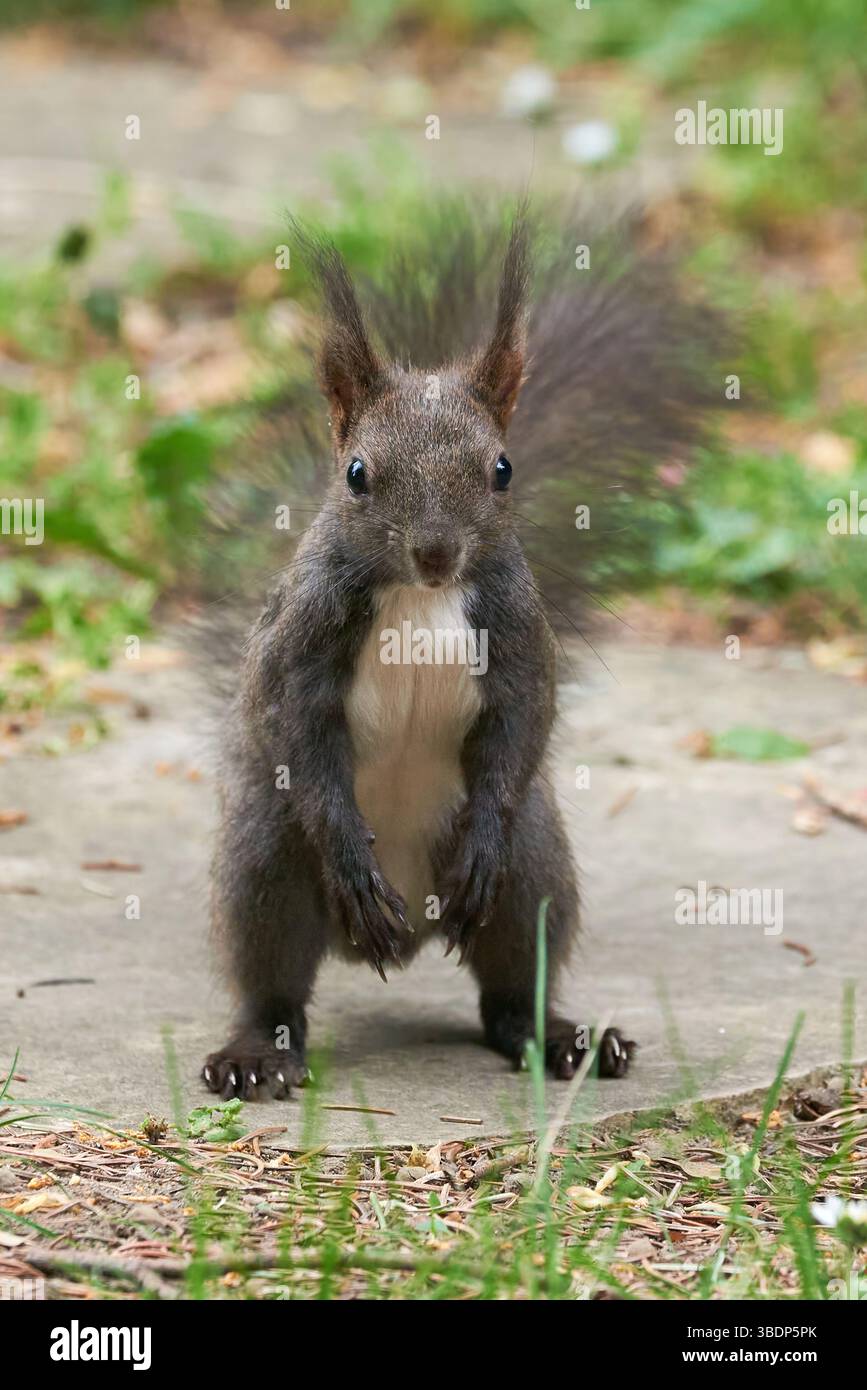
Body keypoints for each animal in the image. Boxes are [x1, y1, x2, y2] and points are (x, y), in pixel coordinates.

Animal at [201, 202, 722, 1100]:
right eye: (356, 473)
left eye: (503, 469)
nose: (438, 553)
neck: (419, 598)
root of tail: (410, 930)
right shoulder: (299, 642)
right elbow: (294, 721)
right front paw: (348, 854)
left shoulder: (514, 631)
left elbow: (523, 716)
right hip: (267, 851)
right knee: (273, 977)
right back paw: (255, 1051)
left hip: (532, 860)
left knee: (509, 976)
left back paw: (558, 1037)